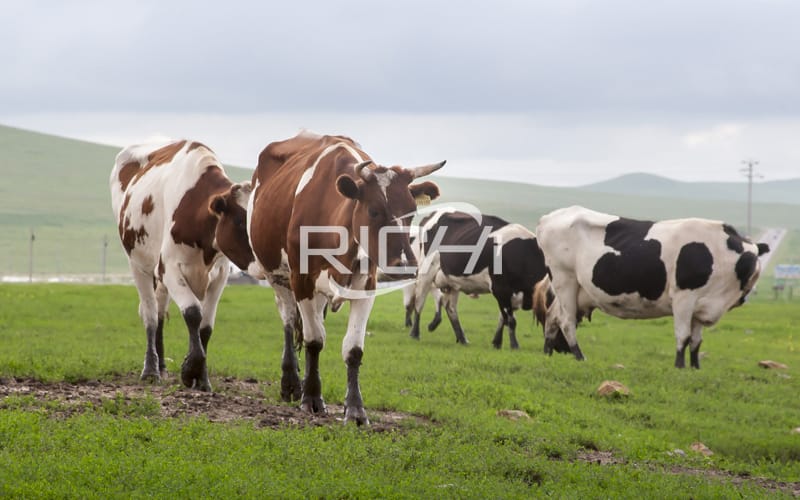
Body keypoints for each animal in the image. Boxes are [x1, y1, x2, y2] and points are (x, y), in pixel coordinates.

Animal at [110, 140, 256, 390]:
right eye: (239, 221)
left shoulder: (219, 276)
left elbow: (205, 327)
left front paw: (202, 378)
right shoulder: (170, 270)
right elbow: (193, 313)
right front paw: (190, 370)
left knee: (159, 312)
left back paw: (161, 365)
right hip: (138, 265)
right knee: (150, 315)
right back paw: (151, 370)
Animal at [247, 131, 444, 424]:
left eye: (412, 211)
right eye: (374, 210)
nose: (406, 266)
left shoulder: (367, 285)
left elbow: (353, 349)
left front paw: (355, 409)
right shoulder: (301, 280)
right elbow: (314, 340)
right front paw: (312, 398)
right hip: (275, 275)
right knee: (289, 320)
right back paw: (291, 383)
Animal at [410, 209, 552, 350]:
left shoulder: (511, 294)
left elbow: (502, 318)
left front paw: (497, 342)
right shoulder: (500, 289)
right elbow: (510, 320)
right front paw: (514, 345)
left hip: (452, 281)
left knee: (450, 307)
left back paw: (462, 339)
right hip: (426, 271)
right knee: (419, 301)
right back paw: (415, 334)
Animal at [536, 205, 772, 370]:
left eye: (756, 259)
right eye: (749, 260)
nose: (752, 276)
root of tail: (549, 217)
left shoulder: (702, 306)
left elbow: (697, 341)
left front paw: (695, 368)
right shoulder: (684, 298)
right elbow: (683, 336)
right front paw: (679, 366)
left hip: (575, 291)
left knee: (553, 316)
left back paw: (547, 352)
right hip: (564, 279)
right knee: (566, 322)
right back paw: (579, 356)